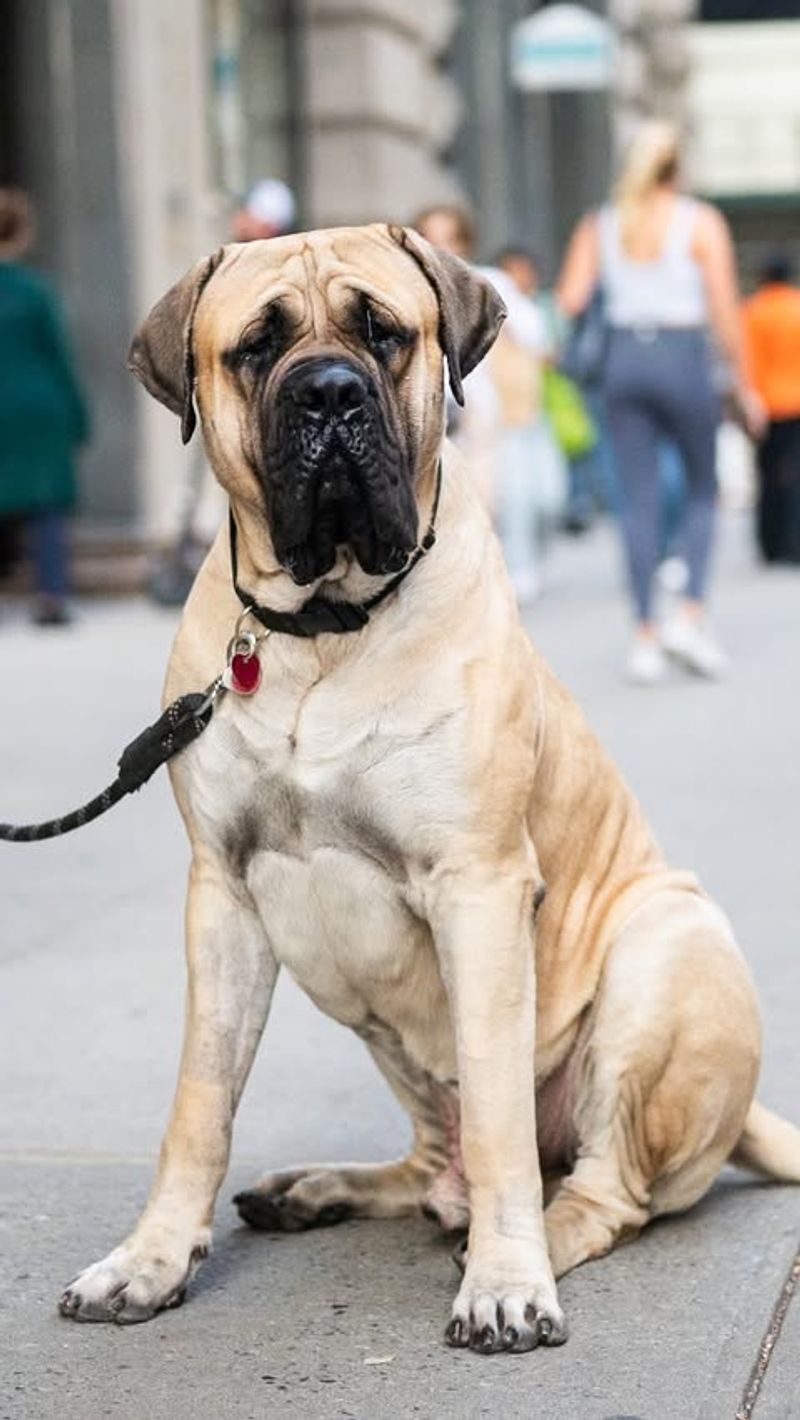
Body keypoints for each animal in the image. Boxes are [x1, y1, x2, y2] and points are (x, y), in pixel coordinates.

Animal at [57, 224, 800, 1351]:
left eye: (384, 333)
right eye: (256, 347)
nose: (327, 393)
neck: (321, 630)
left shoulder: (478, 889)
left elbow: (497, 1116)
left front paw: (505, 1278)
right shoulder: (221, 896)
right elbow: (198, 1104)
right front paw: (148, 1260)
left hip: (664, 947)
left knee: (600, 1187)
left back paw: (527, 1235)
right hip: (385, 1035)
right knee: (432, 1162)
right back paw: (321, 1188)